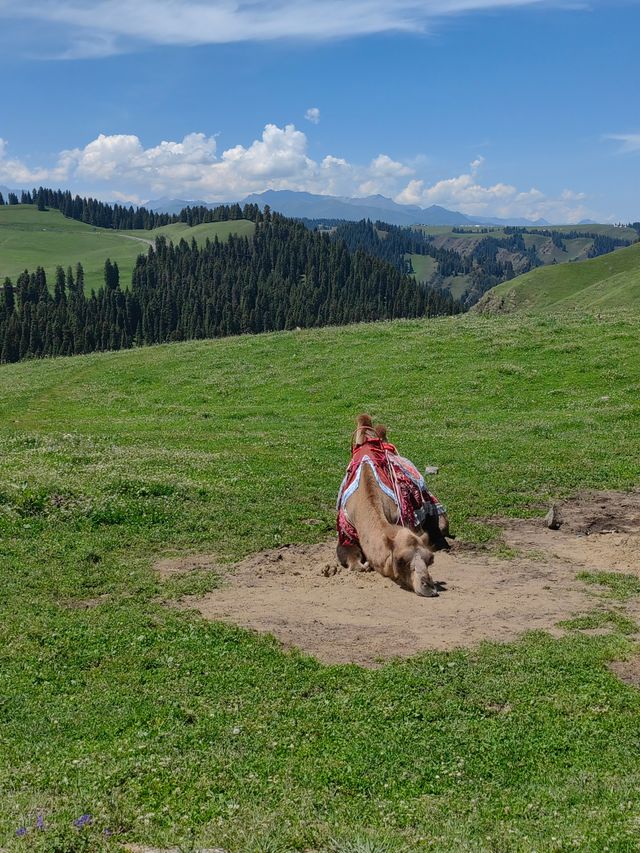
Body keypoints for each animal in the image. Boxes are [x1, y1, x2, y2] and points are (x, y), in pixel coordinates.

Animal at [336, 412, 440, 592]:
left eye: (430, 559)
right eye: (400, 560)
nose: (428, 586)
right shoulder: (345, 529)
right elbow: (352, 559)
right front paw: (363, 564)